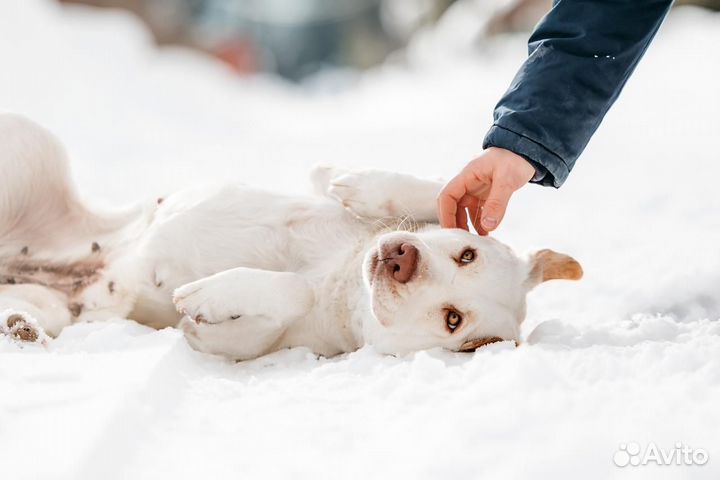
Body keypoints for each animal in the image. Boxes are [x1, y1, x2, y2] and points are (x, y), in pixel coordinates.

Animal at [0, 114, 584, 358]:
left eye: (453, 320)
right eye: (467, 254)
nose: (399, 257)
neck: (345, 277)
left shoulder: (248, 345)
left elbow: (286, 294)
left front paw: (213, 294)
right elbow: (428, 188)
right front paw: (356, 183)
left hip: (59, 306)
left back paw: (22, 326)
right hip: (29, 145)